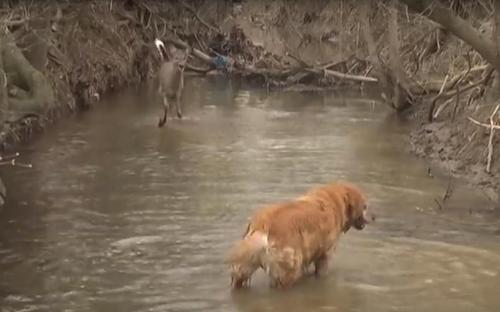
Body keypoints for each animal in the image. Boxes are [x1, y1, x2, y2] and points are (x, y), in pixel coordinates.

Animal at [226, 182, 376, 288]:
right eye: (365, 206)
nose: (375, 217)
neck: (335, 201)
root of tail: (262, 224)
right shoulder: (325, 253)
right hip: (287, 271)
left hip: (242, 269)